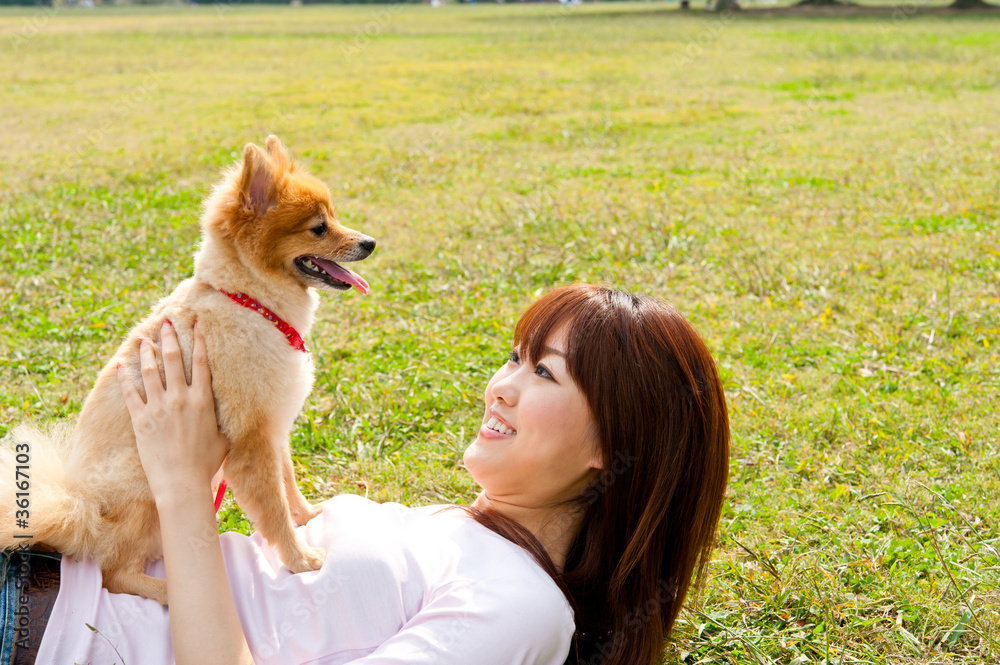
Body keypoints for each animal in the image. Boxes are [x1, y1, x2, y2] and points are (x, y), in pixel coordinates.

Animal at [0, 134, 376, 600]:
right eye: (319, 227)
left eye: (334, 216)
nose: (370, 243)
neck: (249, 301)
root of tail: (80, 514)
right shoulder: (250, 440)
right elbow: (272, 509)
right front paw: (301, 559)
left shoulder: (273, 429)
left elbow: (287, 484)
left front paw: (307, 517)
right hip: (149, 487)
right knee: (114, 572)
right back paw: (168, 592)